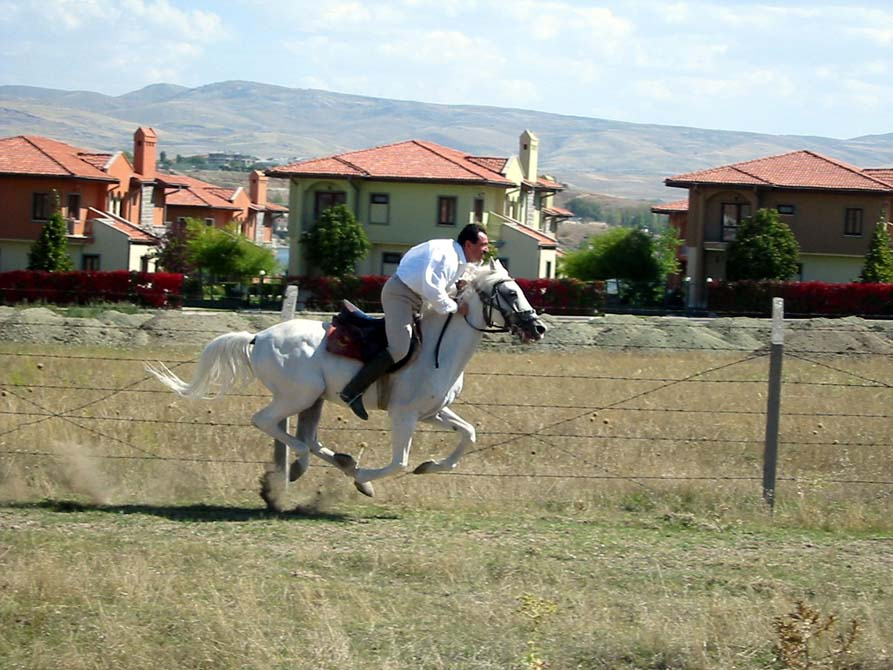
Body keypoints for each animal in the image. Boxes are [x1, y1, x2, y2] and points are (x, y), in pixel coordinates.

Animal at [146, 260, 544, 506]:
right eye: (511, 294)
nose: (538, 327)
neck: (440, 347)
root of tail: (257, 337)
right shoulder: (404, 416)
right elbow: (399, 462)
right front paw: (368, 475)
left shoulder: (433, 413)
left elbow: (468, 435)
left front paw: (427, 467)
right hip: (298, 396)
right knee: (268, 423)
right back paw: (313, 467)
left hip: (315, 400)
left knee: (309, 438)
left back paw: (338, 464)